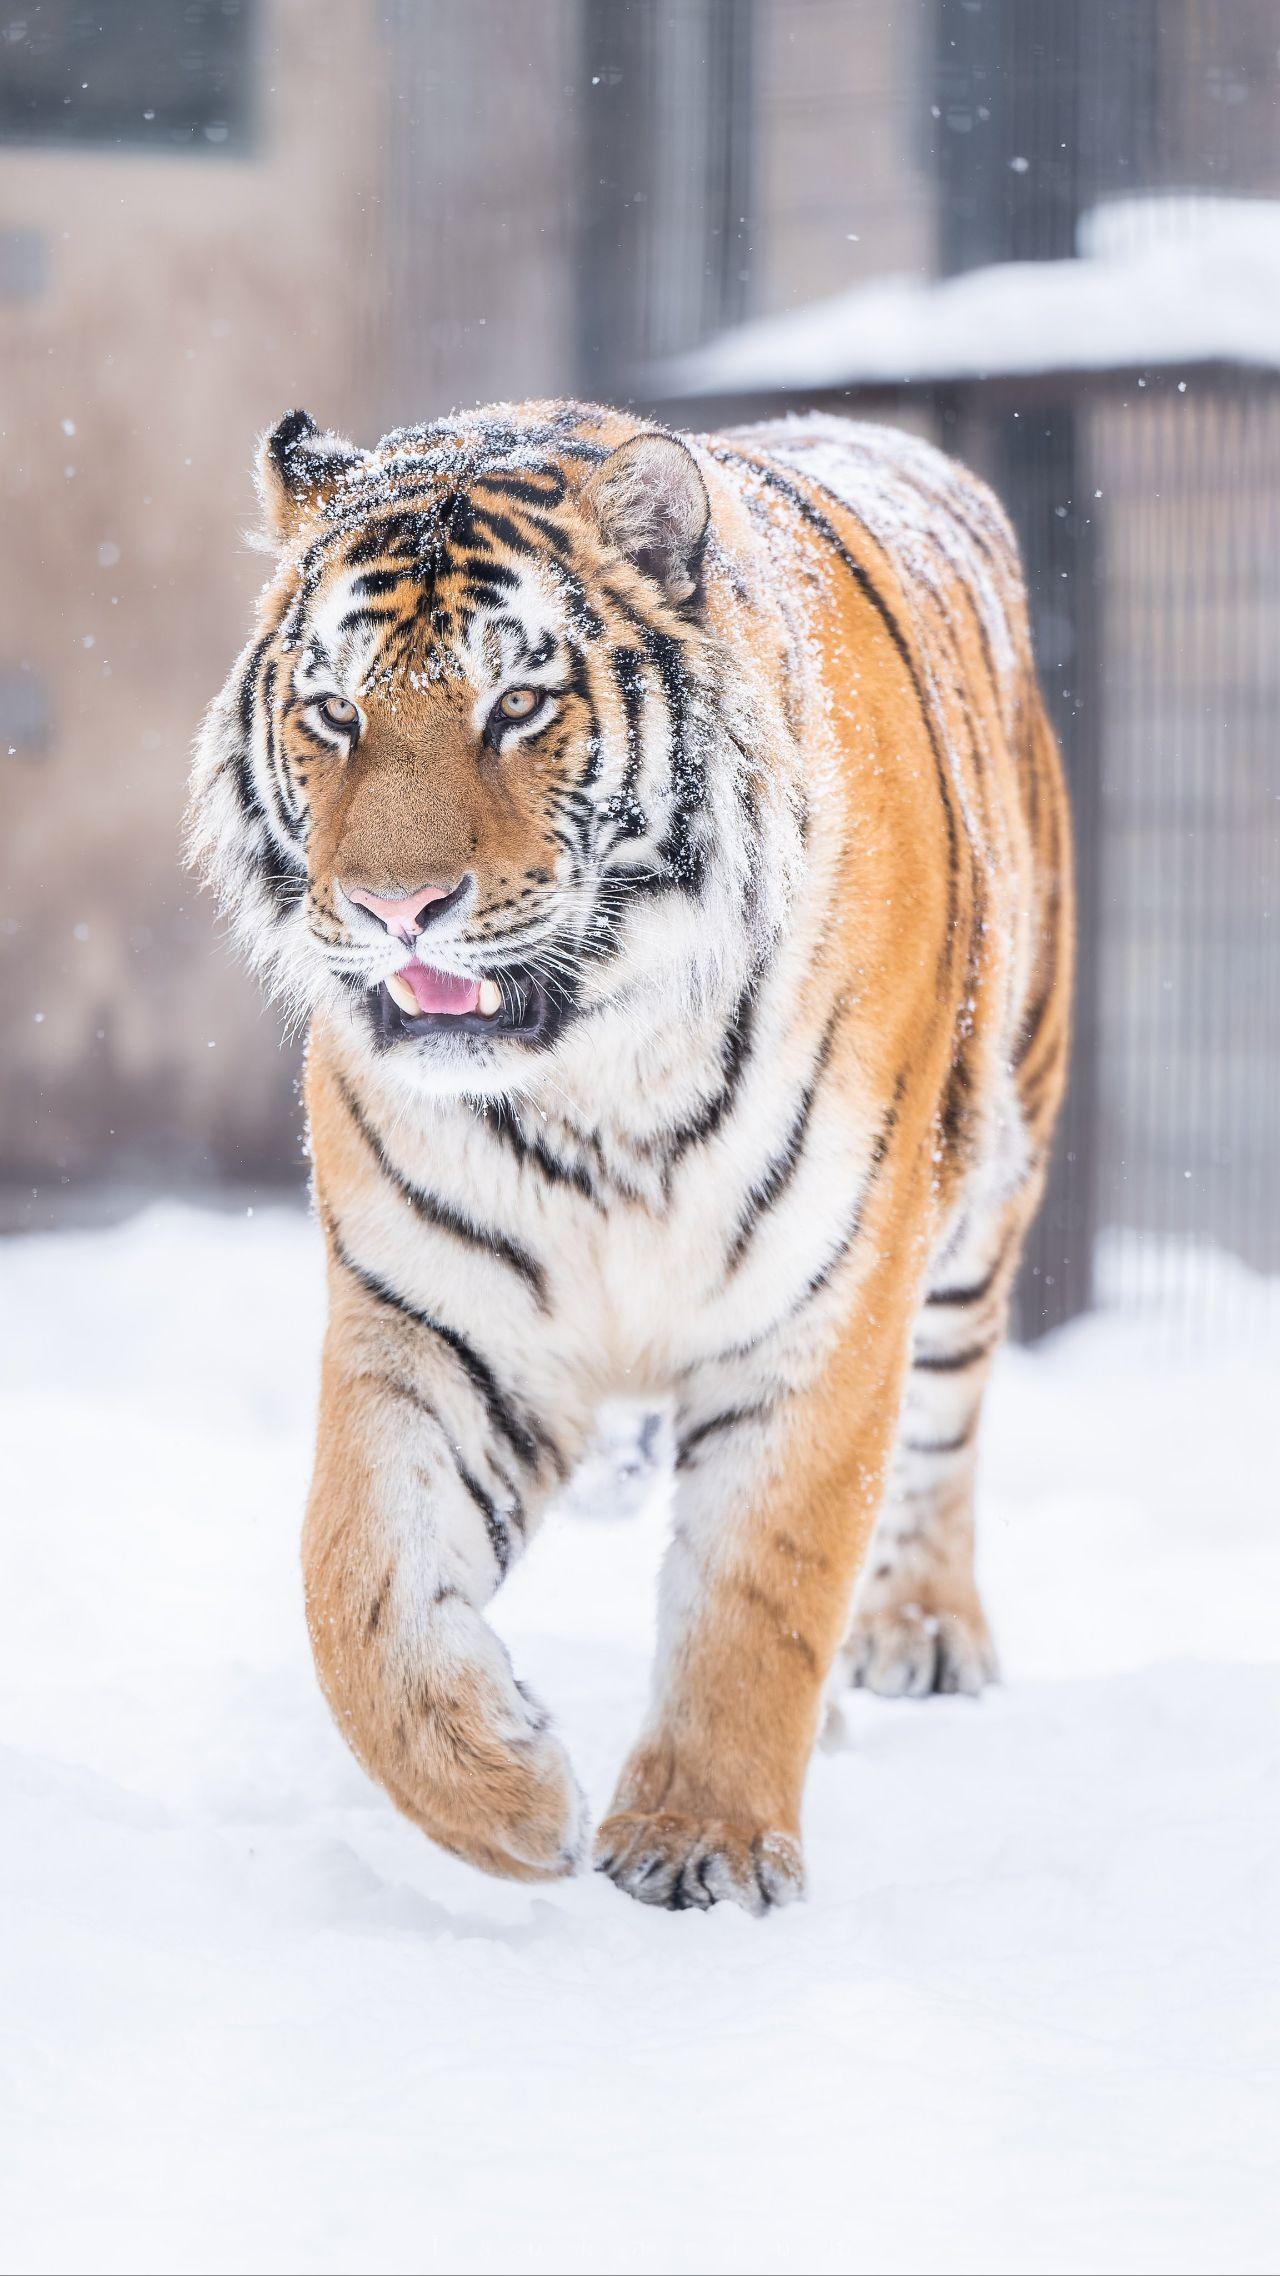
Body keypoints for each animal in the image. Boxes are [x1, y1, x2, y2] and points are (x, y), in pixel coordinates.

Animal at [186, 400, 1065, 1911]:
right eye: (336, 712)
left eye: (518, 705)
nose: (396, 908)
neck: (597, 1077)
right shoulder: (437, 1315)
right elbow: (356, 1584)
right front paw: (505, 1795)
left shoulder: (823, 1305)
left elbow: (759, 1587)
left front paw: (698, 1843)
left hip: (989, 1178)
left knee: (942, 1431)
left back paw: (919, 1634)